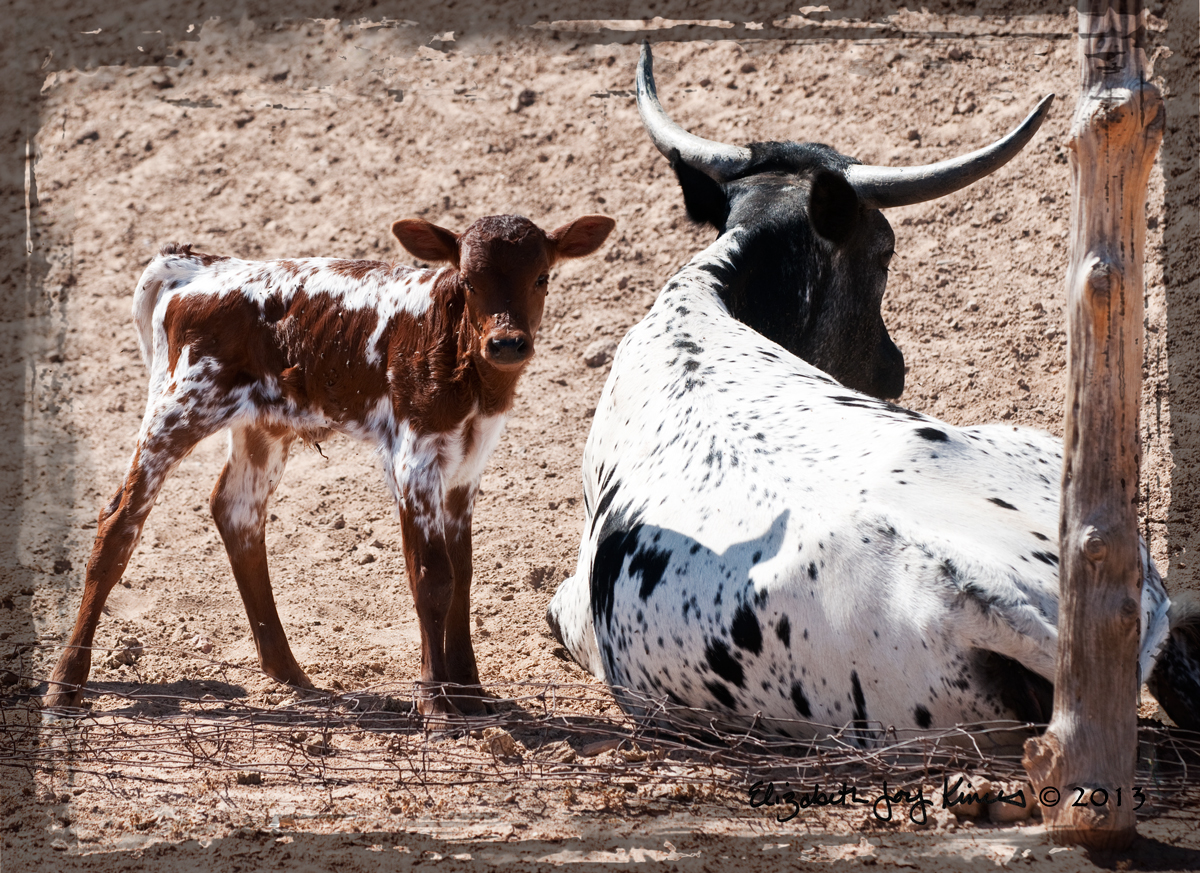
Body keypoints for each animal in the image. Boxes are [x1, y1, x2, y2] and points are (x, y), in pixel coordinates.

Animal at [45, 211, 615, 717]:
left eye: (541, 277)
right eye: (470, 282)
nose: (507, 343)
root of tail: (201, 266)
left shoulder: (466, 467)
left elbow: (463, 575)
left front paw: (471, 696)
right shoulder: (413, 458)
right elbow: (432, 577)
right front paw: (436, 704)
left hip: (263, 423)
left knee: (237, 512)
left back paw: (290, 672)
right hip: (179, 404)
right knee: (119, 522)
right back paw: (65, 683)